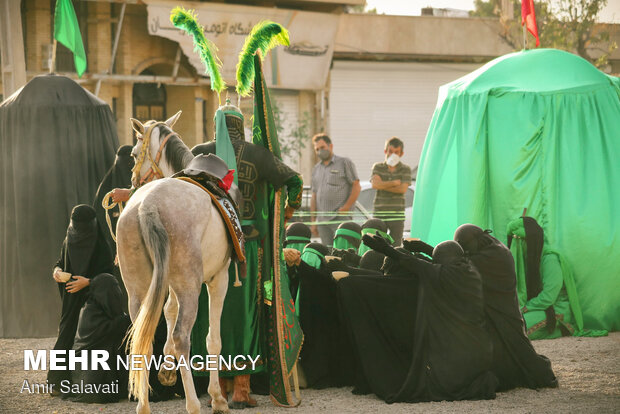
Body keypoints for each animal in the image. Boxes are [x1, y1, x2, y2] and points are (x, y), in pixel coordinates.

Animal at [115, 110, 230, 414]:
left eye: (133, 154)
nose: (133, 180)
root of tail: (147, 205)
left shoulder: (166, 282)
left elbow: (167, 310)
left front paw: (166, 368)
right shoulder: (218, 278)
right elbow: (213, 339)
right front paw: (217, 397)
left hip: (138, 288)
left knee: (141, 337)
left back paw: (143, 405)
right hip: (191, 286)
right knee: (182, 338)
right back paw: (193, 403)